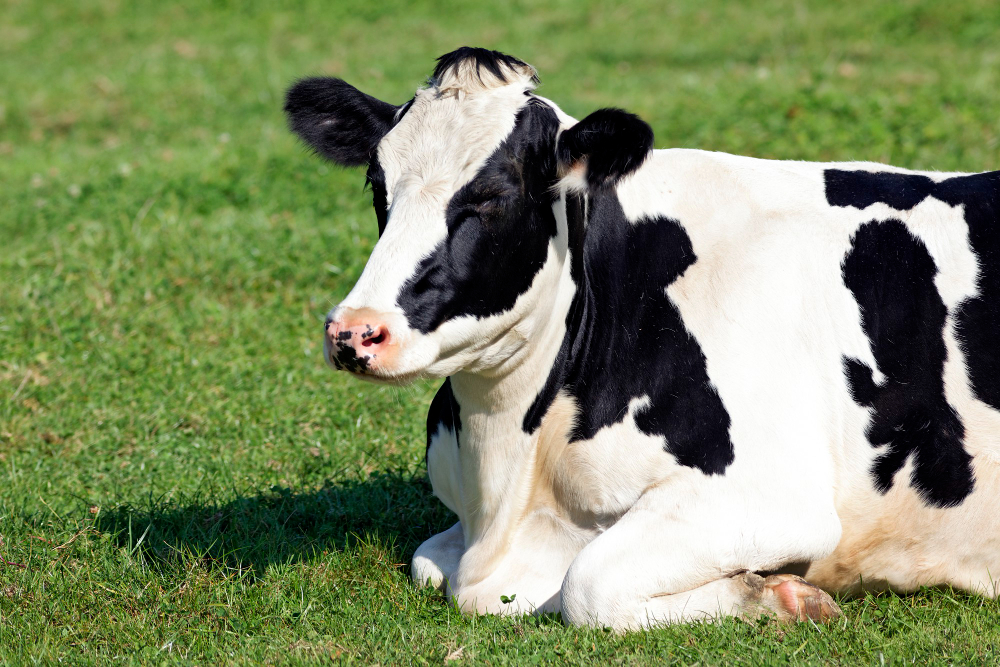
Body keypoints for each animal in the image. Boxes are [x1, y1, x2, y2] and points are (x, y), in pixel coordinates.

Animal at [282, 47, 1000, 632]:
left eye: (493, 196)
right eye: (378, 184)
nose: (355, 331)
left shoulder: (771, 498)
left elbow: (589, 586)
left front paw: (780, 596)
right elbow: (428, 560)